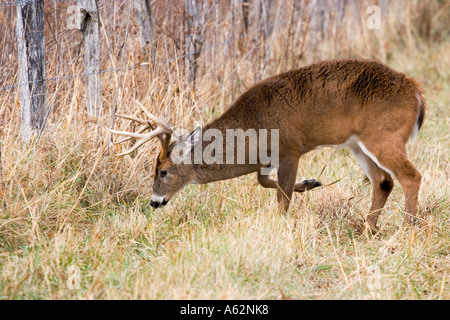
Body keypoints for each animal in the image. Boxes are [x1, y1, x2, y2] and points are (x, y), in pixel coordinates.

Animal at [108, 59, 426, 230]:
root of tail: (416, 93)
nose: (154, 201)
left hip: (383, 135)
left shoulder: (290, 148)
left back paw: (406, 228)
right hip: (358, 144)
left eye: (163, 171)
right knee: (383, 181)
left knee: (411, 176)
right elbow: (264, 182)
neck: (253, 129)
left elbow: (282, 199)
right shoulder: (267, 159)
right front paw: (310, 183)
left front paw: (283, 224)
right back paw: (368, 229)